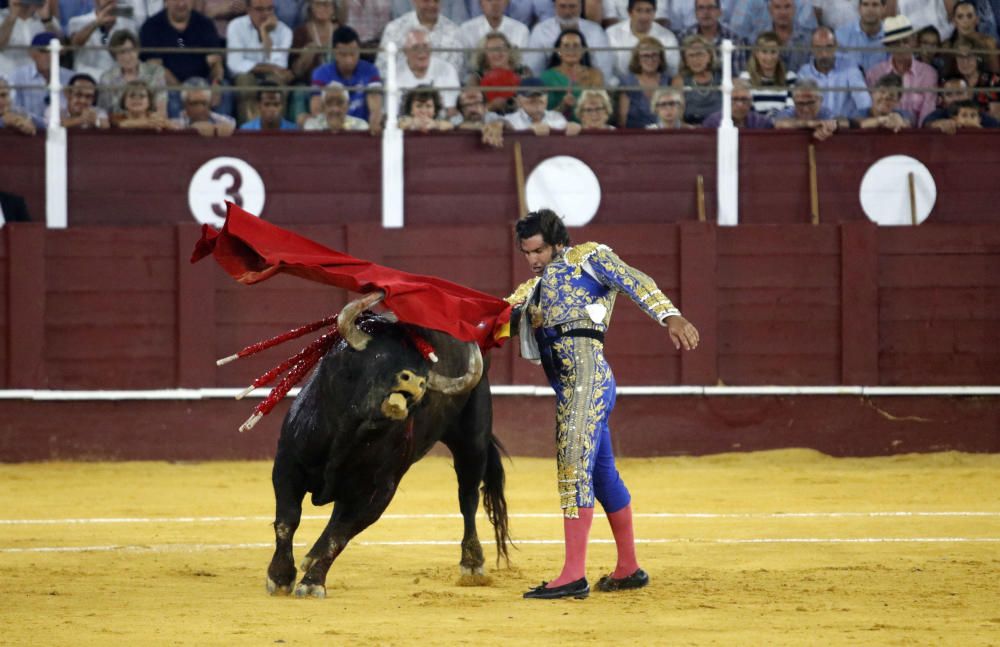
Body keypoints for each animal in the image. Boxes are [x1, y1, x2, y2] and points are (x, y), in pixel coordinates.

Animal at [266, 292, 512, 596]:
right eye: (380, 358)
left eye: (425, 372)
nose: (416, 381)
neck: (352, 433)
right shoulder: (287, 464)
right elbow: (288, 519)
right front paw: (279, 577)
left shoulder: (378, 493)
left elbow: (339, 535)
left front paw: (312, 581)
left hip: (472, 441)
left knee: (468, 496)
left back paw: (472, 563)